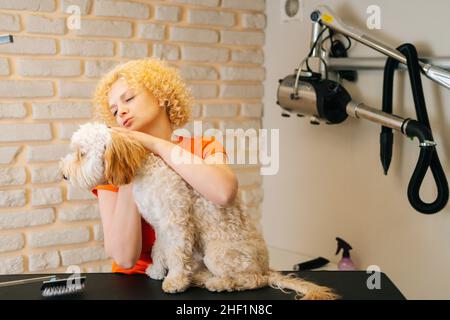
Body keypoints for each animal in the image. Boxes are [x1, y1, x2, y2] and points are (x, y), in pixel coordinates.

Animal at [60, 122, 338, 300]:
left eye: (81, 154)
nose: (63, 174)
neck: (145, 169)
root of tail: (266, 267)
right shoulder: (161, 226)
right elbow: (160, 251)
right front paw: (158, 270)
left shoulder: (177, 222)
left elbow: (176, 255)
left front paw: (174, 281)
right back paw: (201, 277)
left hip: (219, 255)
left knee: (251, 280)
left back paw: (216, 282)